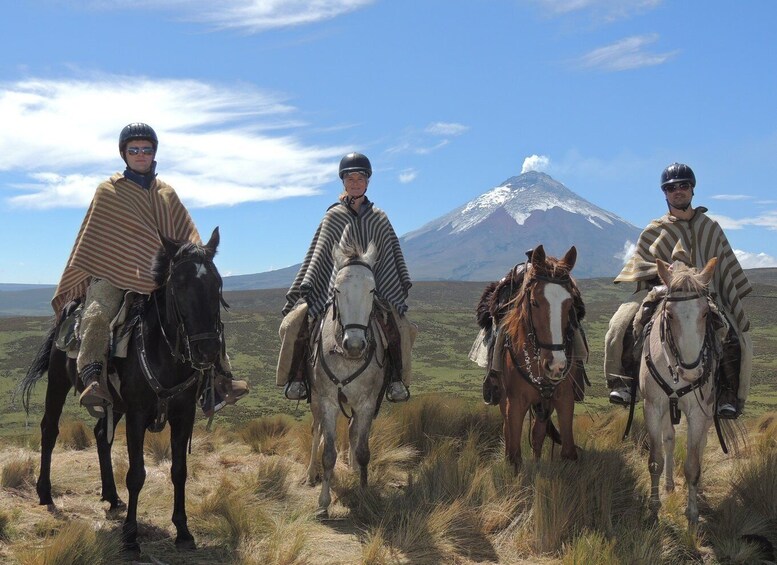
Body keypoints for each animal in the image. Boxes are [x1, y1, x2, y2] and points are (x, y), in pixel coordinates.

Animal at [21, 227, 226, 552]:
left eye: (217, 284)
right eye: (179, 285)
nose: (207, 350)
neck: (163, 351)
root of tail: (69, 309)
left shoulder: (184, 414)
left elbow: (179, 471)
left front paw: (183, 531)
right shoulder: (138, 414)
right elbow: (136, 474)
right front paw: (130, 536)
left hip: (114, 403)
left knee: (100, 436)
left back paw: (111, 495)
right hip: (58, 382)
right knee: (49, 430)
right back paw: (45, 492)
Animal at [640, 256, 720, 524]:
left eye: (706, 313)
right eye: (669, 314)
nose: (692, 372)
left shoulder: (697, 412)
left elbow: (692, 464)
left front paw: (692, 512)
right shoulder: (653, 408)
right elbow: (655, 459)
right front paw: (654, 506)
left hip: (707, 413)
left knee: (701, 445)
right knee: (669, 440)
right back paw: (668, 485)